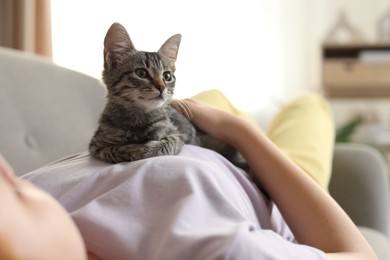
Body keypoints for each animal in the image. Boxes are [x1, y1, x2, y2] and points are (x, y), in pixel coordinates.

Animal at [88, 22, 247, 171]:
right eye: (141, 73)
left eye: (167, 76)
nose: (161, 87)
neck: (139, 117)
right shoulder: (96, 145)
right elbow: (113, 150)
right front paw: (133, 149)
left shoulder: (178, 134)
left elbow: (167, 143)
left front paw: (147, 148)